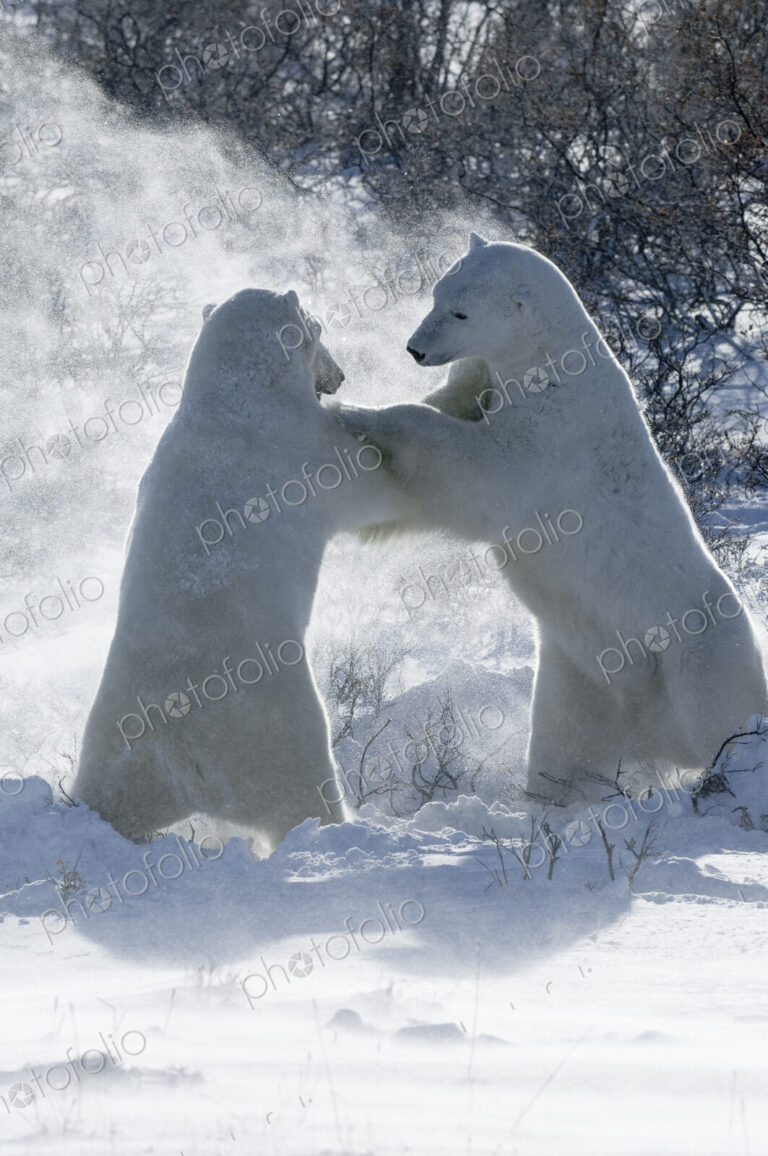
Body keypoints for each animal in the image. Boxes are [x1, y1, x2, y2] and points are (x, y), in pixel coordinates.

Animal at [74, 288, 409, 846]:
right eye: (318, 325)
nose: (340, 377)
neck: (233, 391)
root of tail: (182, 744)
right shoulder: (300, 446)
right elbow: (365, 484)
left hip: (118, 743)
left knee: (112, 796)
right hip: (276, 725)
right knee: (303, 790)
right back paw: (336, 830)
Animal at [334, 235, 768, 806]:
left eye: (460, 311)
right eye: (436, 293)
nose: (414, 348)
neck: (550, 360)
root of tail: (657, 732)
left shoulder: (556, 430)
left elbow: (483, 474)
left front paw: (360, 413)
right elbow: (454, 413)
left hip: (696, 654)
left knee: (723, 719)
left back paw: (729, 777)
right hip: (582, 676)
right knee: (564, 743)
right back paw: (553, 797)